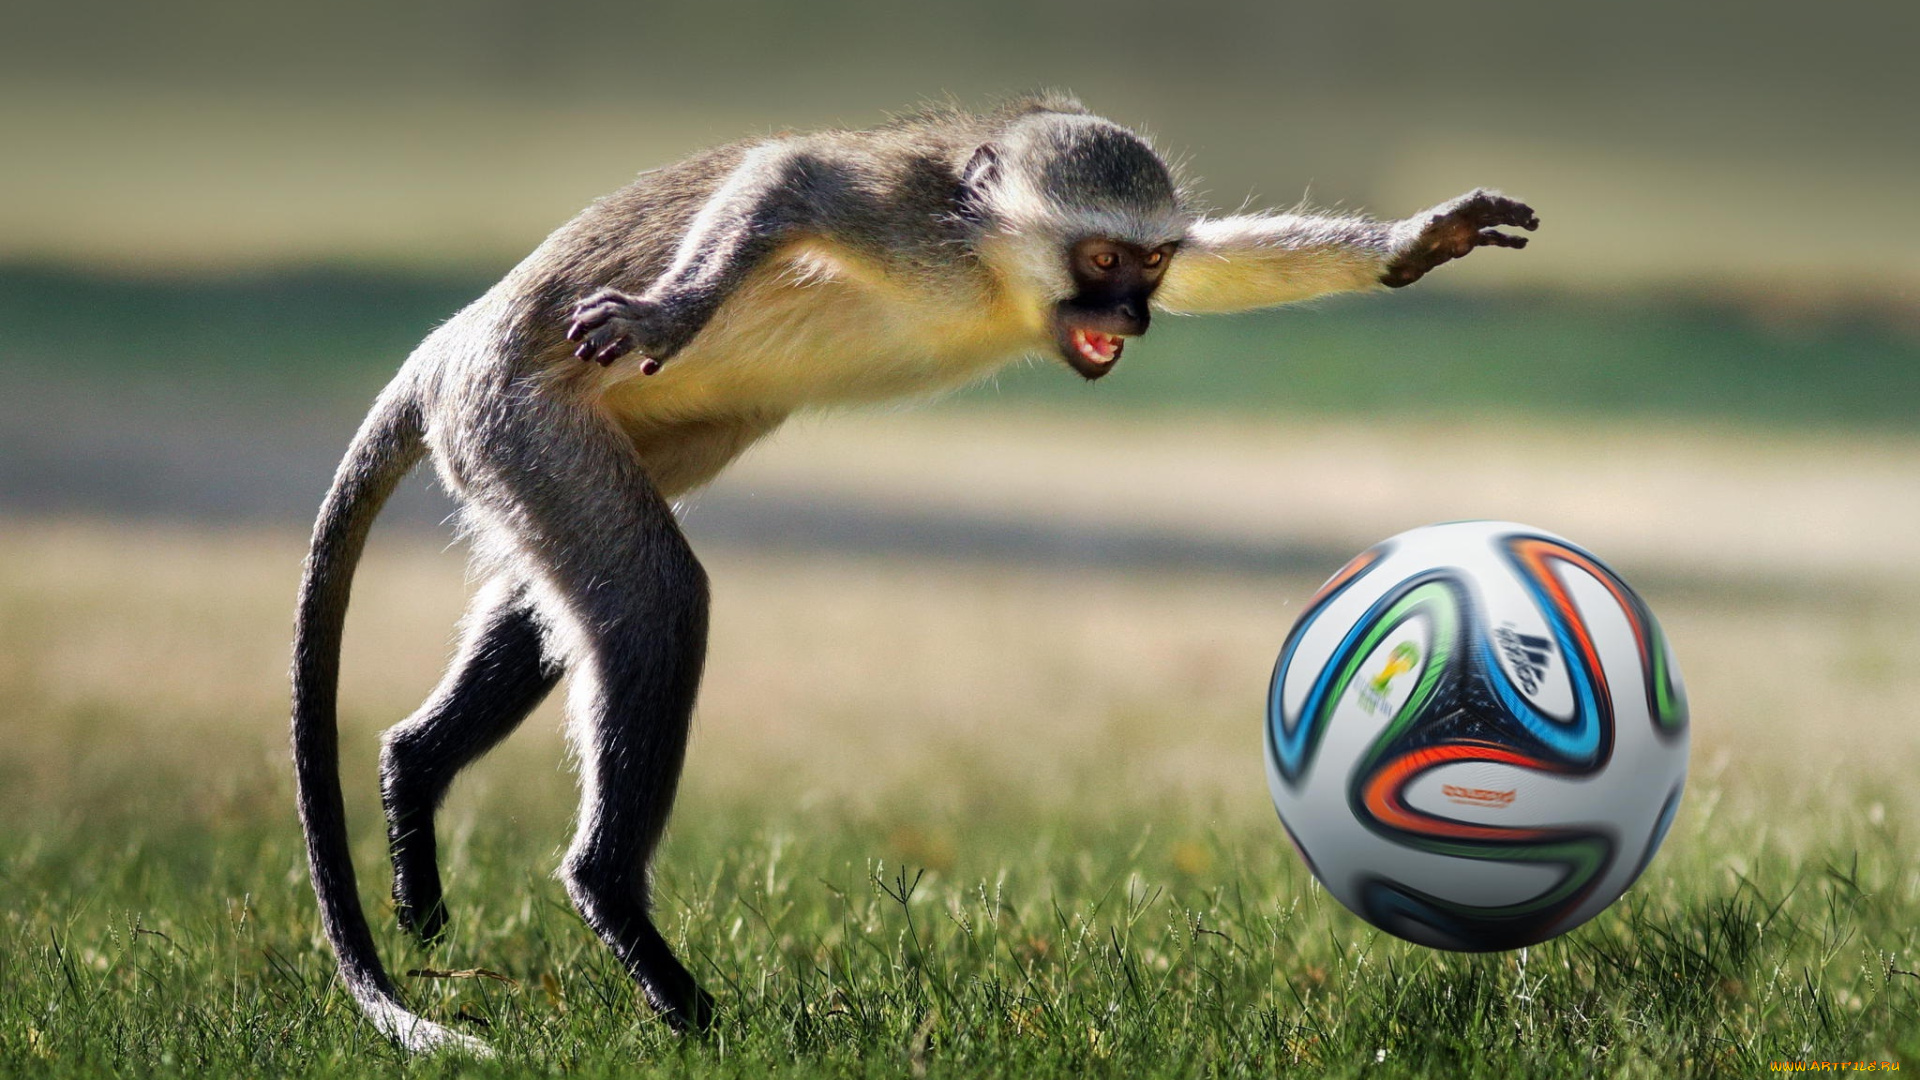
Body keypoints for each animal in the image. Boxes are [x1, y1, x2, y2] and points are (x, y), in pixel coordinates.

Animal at [290, 92, 1537, 1054]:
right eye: (1102, 261)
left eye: (1148, 262)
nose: (1133, 314)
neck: (996, 276)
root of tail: (446, 350)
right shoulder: (908, 221)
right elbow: (788, 172)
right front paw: (670, 304)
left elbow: (1222, 266)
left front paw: (1413, 244)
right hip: (518, 416)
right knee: (651, 598)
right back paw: (619, 909)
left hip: (553, 441)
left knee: (561, 599)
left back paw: (414, 773)